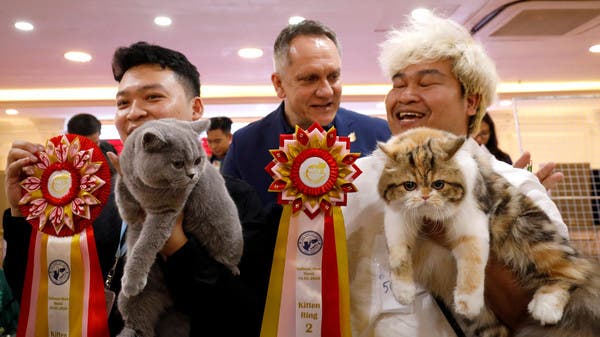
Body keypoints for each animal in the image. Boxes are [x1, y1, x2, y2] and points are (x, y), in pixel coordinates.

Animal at [115, 118, 241, 336]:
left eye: (198, 160)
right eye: (178, 164)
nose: (192, 175)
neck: (145, 187)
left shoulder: (166, 211)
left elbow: (145, 244)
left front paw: (132, 280)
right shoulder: (127, 181)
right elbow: (121, 188)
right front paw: (128, 209)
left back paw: (233, 269)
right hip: (134, 301)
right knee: (138, 323)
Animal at [378, 126, 600, 336]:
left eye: (438, 184)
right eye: (409, 185)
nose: (424, 198)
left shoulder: (472, 222)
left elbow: (471, 266)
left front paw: (469, 301)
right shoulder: (397, 221)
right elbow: (398, 258)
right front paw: (403, 292)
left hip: (529, 233)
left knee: (575, 270)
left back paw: (545, 307)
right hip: (482, 323)